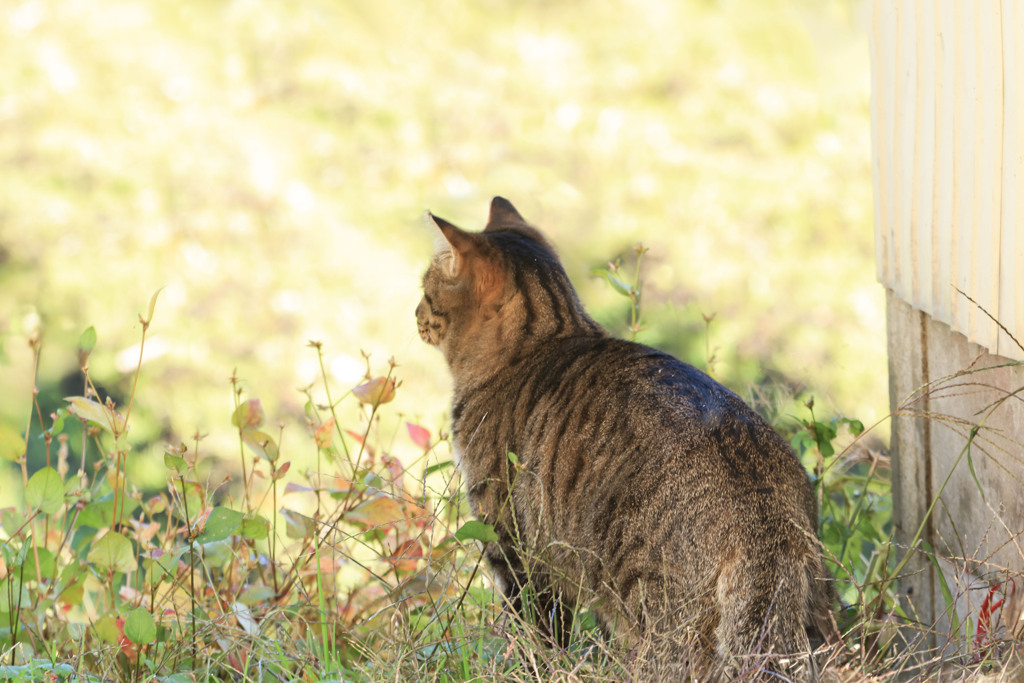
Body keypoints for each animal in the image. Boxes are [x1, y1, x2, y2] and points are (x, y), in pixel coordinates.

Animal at [413, 194, 831, 675]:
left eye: (425, 291)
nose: (415, 314)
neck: (540, 341)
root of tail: (763, 516)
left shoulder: (512, 544)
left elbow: (539, 636)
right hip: (813, 615)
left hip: (656, 617)